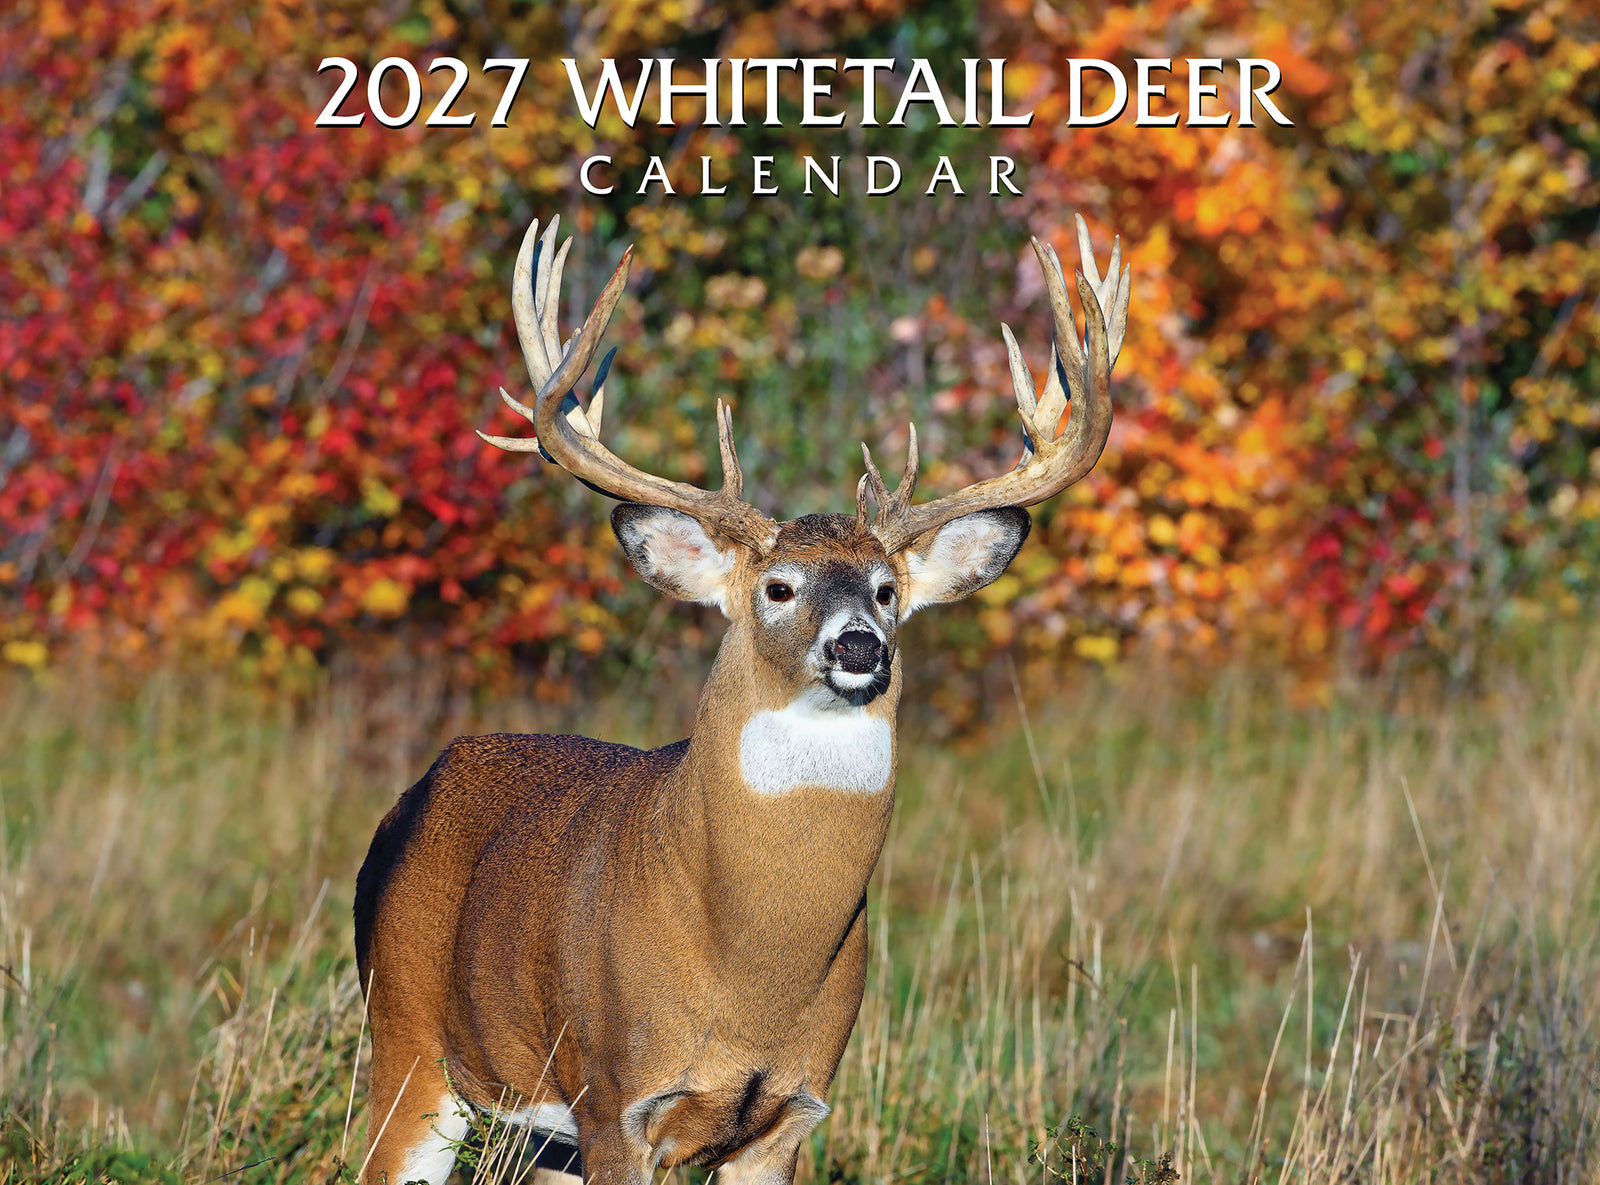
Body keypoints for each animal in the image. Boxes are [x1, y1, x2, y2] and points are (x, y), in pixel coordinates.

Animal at [353, 212, 1130, 1185]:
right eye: (779, 588)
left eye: (885, 590)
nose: (859, 645)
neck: (751, 959)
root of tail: (415, 790)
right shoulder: (618, 1098)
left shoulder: (791, 1110)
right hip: (409, 1036)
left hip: (535, 1126)